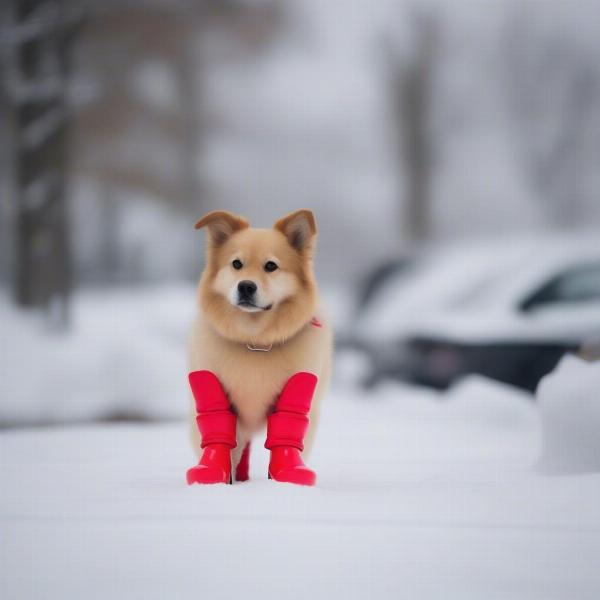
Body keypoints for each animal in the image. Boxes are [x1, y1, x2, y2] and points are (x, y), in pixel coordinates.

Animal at [188, 209, 332, 486]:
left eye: (271, 266)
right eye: (236, 264)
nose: (245, 286)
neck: (255, 341)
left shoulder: (299, 390)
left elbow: (287, 430)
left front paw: (287, 474)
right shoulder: (213, 389)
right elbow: (219, 431)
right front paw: (216, 474)